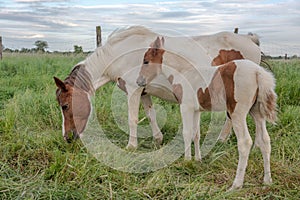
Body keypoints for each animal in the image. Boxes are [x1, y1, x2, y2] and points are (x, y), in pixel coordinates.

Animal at [55, 25, 262, 148]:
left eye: (65, 106)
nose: (67, 137)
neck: (120, 53)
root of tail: (249, 39)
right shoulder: (143, 91)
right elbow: (150, 114)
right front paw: (157, 139)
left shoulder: (133, 91)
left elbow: (132, 119)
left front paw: (131, 146)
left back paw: (222, 139)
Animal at [137, 37, 278, 189]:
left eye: (146, 61)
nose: (139, 81)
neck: (184, 73)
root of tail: (258, 72)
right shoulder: (196, 110)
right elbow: (196, 134)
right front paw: (197, 159)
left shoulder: (185, 107)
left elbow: (186, 133)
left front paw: (187, 160)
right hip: (257, 112)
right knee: (265, 141)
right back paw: (267, 181)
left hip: (237, 114)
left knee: (245, 143)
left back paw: (236, 185)